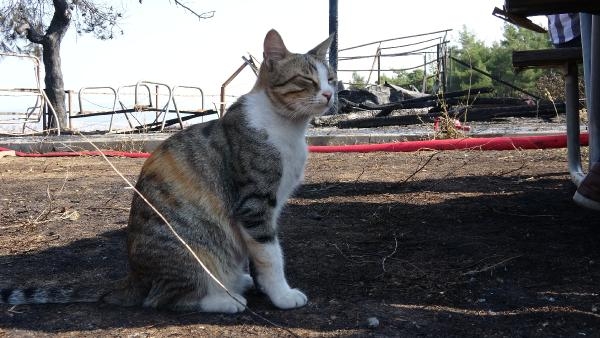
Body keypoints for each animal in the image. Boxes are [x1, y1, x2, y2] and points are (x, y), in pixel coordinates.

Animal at [0, 29, 336, 314]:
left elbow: (260, 253)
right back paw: (225, 299)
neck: (288, 127)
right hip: (190, 250)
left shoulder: (270, 208)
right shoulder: (254, 204)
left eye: (331, 78)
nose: (331, 94)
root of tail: (134, 277)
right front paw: (282, 294)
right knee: (163, 298)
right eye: (306, 80)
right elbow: (270, 255)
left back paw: (234, 282)